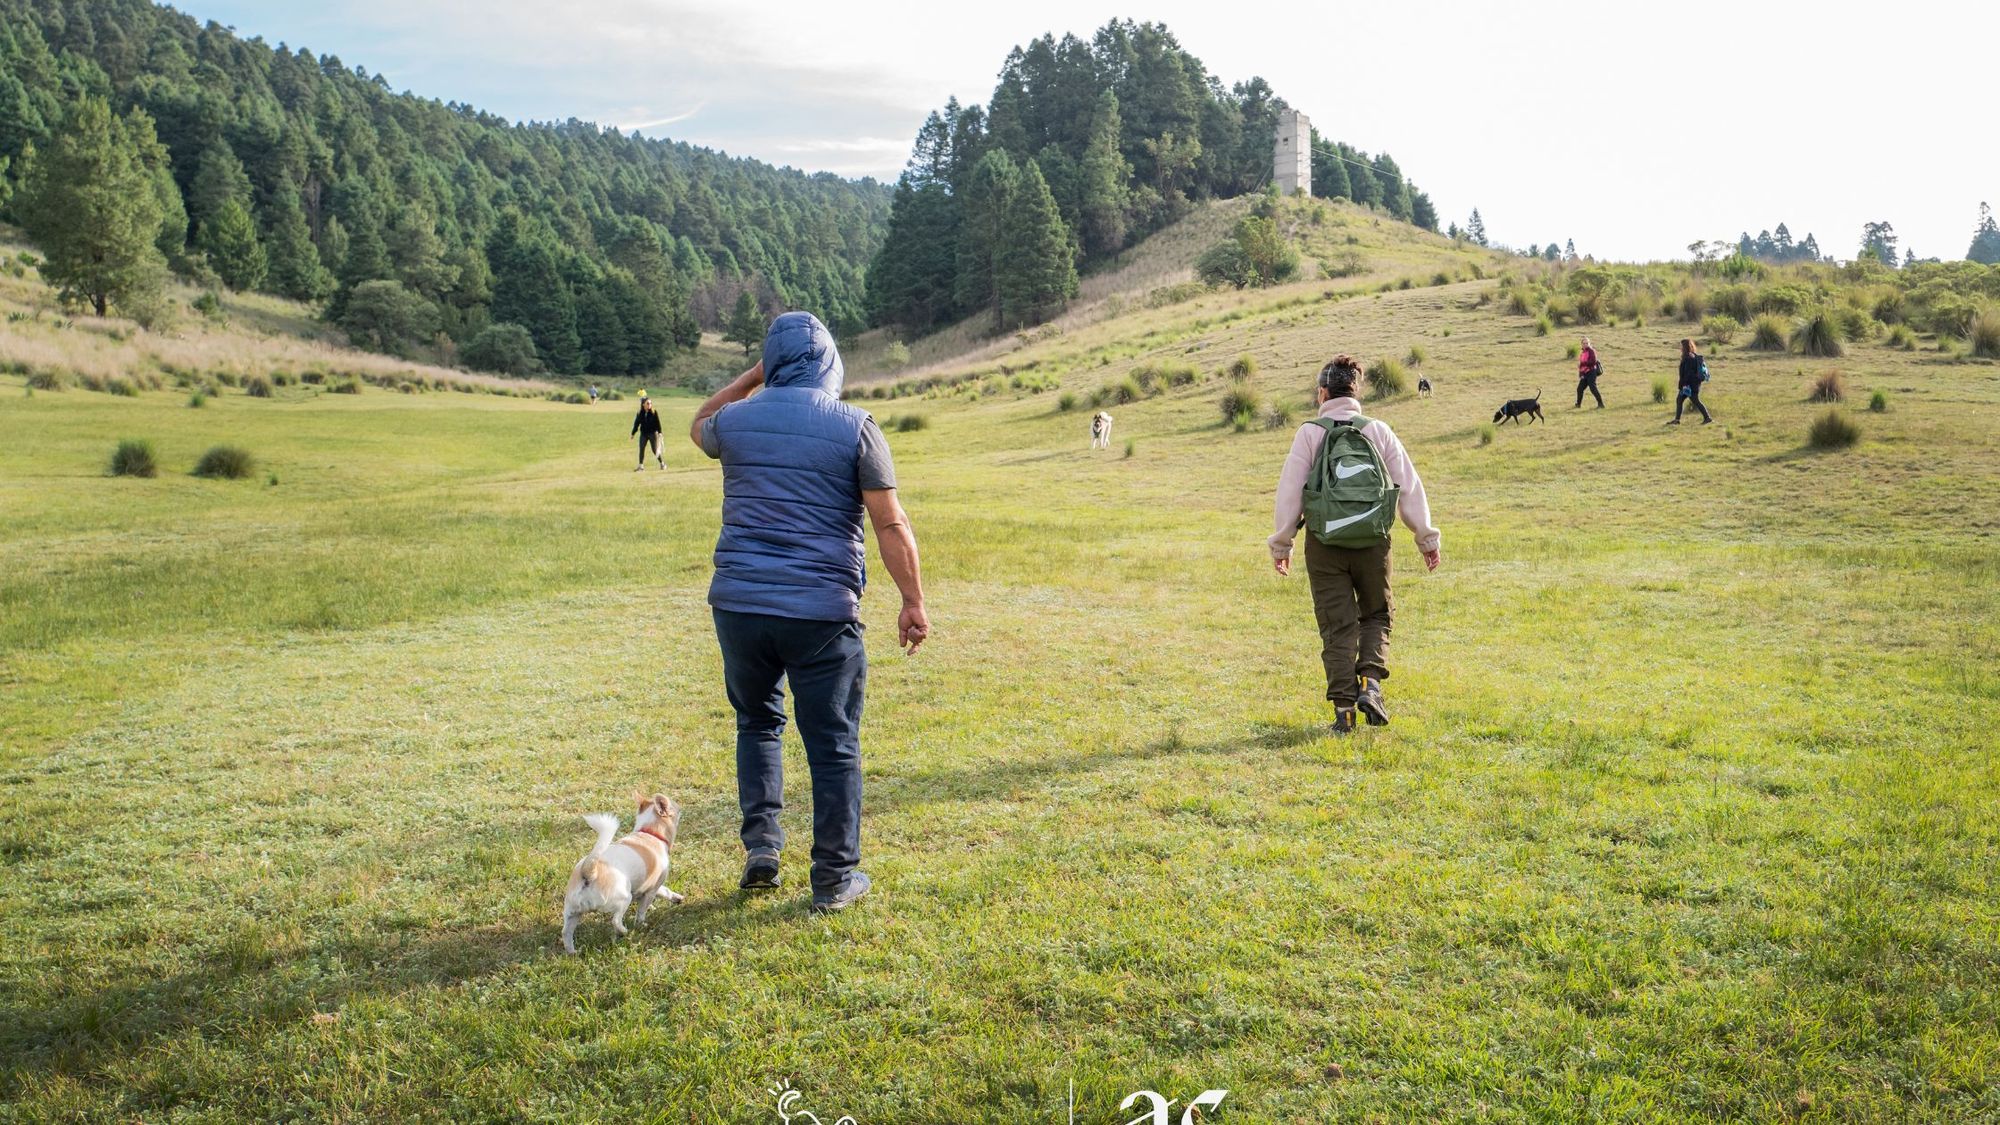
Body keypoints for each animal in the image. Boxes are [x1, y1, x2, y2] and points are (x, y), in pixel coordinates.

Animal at [564, 788, 688, 952]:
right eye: (675, 805)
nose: (681, 808)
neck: (649, 832)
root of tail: (590, 871)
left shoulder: (653, 885)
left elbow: (665, 891)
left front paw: (676, 897)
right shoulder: (652, 889)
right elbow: (642, 910)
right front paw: (641, 924)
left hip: (572, 912)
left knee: (566, 933)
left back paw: (573, 952)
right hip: (624, 898)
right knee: (616, 920)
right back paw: (624, 931)